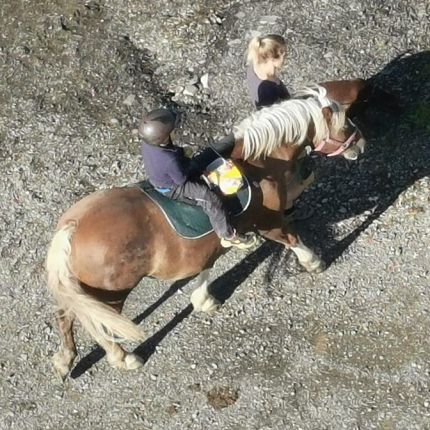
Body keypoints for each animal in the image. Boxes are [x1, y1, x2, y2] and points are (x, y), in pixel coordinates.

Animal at [47, 80, 368, 376]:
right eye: (343, 122)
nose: (360, 143)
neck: (258, 163)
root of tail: (72, 226)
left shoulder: (211, 243)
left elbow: (207, 264)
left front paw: (203, 300)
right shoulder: (268, 223)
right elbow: (291, 238)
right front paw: (314, 262)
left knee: (66, 315)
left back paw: (64, 361)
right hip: (112, 294)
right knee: (96, 325)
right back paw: (124, 358)